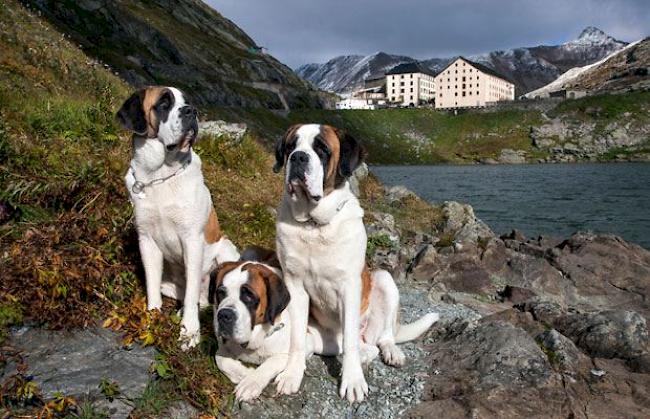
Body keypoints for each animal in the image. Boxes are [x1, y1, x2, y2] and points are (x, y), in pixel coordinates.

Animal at [116, 87, 238, 350]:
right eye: (164, 103)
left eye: (187, 101)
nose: (191, 111)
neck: (159, 176)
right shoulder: (146, 240)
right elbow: (151, 286)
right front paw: (152, 320)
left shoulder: (191, 240)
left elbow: (191, 293)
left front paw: (190, 332)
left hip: (227, 251)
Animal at [210, 248, 438, 402]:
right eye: (220, 292)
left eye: (248, 296)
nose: (224, 315)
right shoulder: (223, 347)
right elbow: (220, 358)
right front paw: (243, 373)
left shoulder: (302, 345)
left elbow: (272, 362)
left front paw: (251, 381)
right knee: (367, 346)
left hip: (383, 278)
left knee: (384, 339)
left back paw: (390, 352)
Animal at [270, 124, 438, 404]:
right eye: (291, 146)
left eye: (322, 149)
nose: (298, 157)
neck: (314, 225)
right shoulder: (294, 285)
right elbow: (296, 339)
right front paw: (292, 374)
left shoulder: (349, 287)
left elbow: (349, 343)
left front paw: (353, 381)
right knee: (364, 346)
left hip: (383, 280)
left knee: (382, 337)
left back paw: (391, 352)